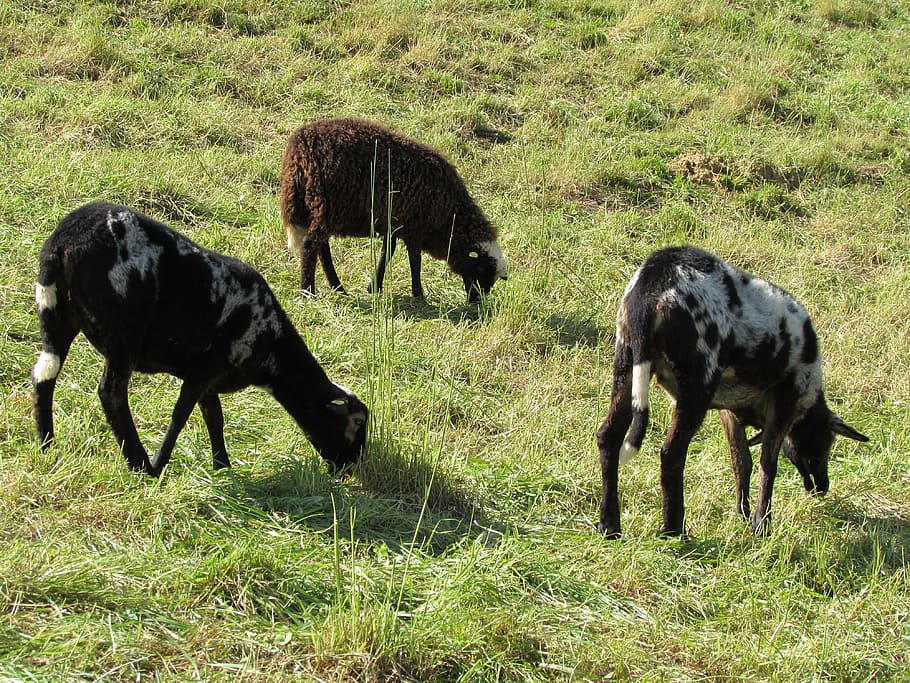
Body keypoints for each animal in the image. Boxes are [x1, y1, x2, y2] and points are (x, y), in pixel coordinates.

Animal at [31, 201, 369, 477]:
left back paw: (47, 445)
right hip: (124, 330)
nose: (350, 468)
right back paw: (141, 466)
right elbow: (181, 416)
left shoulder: (207, 376)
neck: (274, 356)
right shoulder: (205, 370)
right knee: (111, 393)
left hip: (56, 312)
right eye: (356, 423)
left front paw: (222, 467)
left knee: (44, 374)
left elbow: (213, 416)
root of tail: (62, 241)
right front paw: (161, 465)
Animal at [279, 118, 507, 303]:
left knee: (322, 247)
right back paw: (307, 292)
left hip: (318, 208)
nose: (476, 301)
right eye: (482, 270)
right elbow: (414, 259)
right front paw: (418, 293)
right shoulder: (416, 227)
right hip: (327, 205)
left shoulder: (396, 223)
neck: (450, 218)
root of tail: (300, 147)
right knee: (310, 244)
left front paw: (374, 286)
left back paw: (338, 287)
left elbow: (388, 250)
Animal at [596, 246, 868, 538]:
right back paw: (674, 530)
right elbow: (767, 465)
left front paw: (744, 513)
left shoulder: (729, 411)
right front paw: (762, 524)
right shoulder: (784, 408)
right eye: (827, 441)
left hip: (627, 363)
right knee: (671, 454)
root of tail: (654, 280)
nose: (821, 486)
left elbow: (741, 461)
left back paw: (609, 524)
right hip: (697, 384)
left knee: (608, 436)